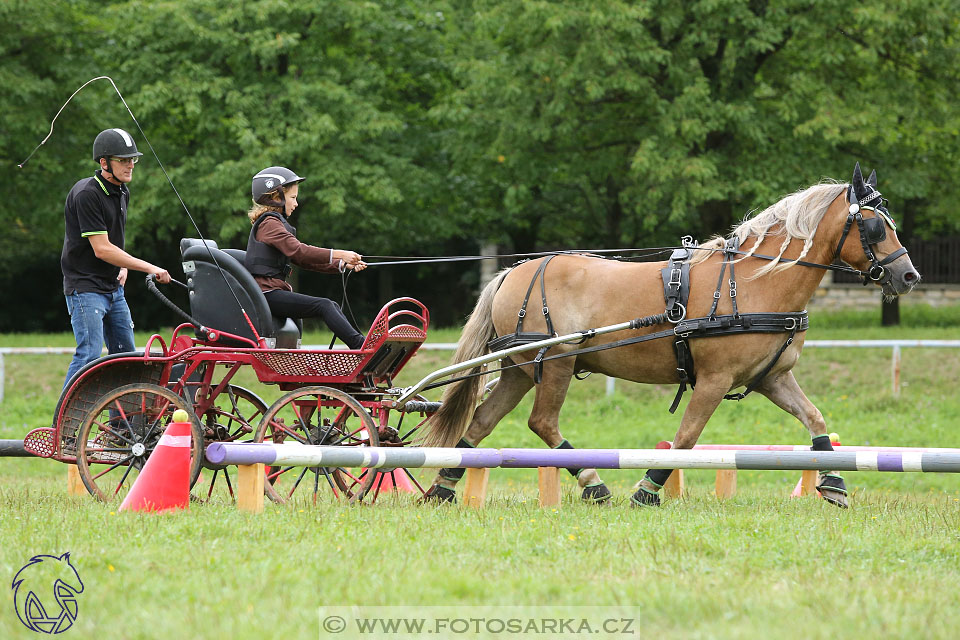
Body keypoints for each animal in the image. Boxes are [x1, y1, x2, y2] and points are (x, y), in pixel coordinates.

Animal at [420, 162, 924, 508]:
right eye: (874, 226)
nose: (909, 276)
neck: (753, 282)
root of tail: (515, 271)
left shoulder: (772, 378)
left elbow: (817, 422)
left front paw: (833, 482)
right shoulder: (714, 381)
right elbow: (685, 439)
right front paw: (647, 489)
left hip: (520, 368)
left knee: (482, 423)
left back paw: (443, 486)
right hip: (558, 362)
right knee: (542, 423)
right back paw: (594, 483)